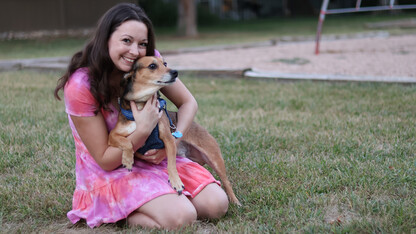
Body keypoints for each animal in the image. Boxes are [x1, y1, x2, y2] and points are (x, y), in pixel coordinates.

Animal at [109, 55, 242, 206]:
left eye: (165, 63)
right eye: (152, 66)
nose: (175, 72)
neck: (141, 105)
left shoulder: (168, 138)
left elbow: (171, 164)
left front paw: (176, 182)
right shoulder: (112, 135)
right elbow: (126, 142)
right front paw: (128, 159)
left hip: (215, 159)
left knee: (226, 181)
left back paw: (235, 201)